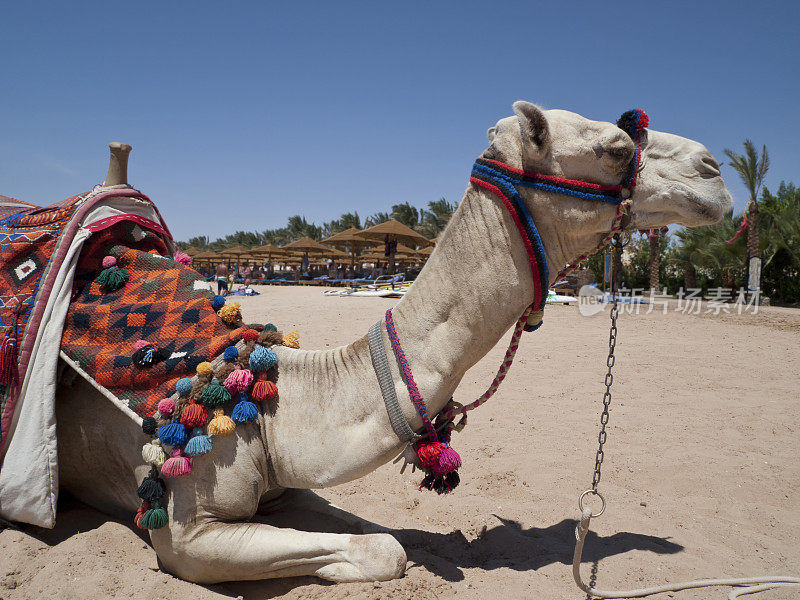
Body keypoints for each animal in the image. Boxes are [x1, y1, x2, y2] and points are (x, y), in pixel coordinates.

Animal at [53, 102, 736, 580]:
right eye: (615, 147)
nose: (714, 170)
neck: (270, 402)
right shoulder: (185, 532)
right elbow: (388, 550)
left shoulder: (288, 483)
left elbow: (364, 530)